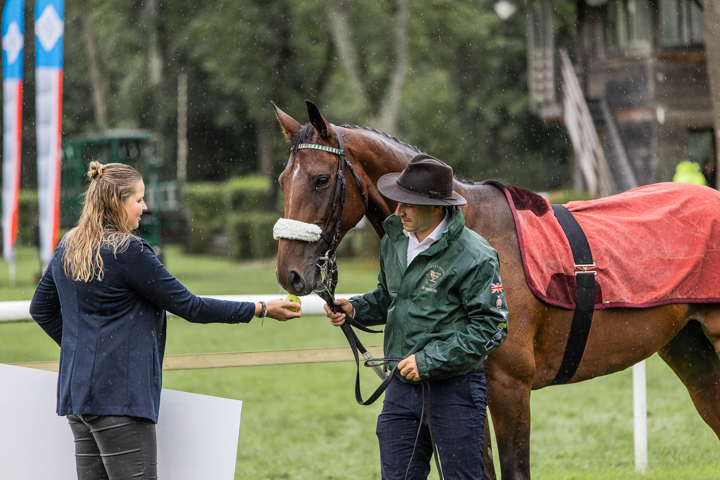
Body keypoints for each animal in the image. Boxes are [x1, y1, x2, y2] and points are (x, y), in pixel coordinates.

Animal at [272, 101, 720, 480]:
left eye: (321, 179)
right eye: (282, 180)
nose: (288, 274)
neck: (469, 228)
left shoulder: (510, 386)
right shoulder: (471, 391)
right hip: (689, 349)